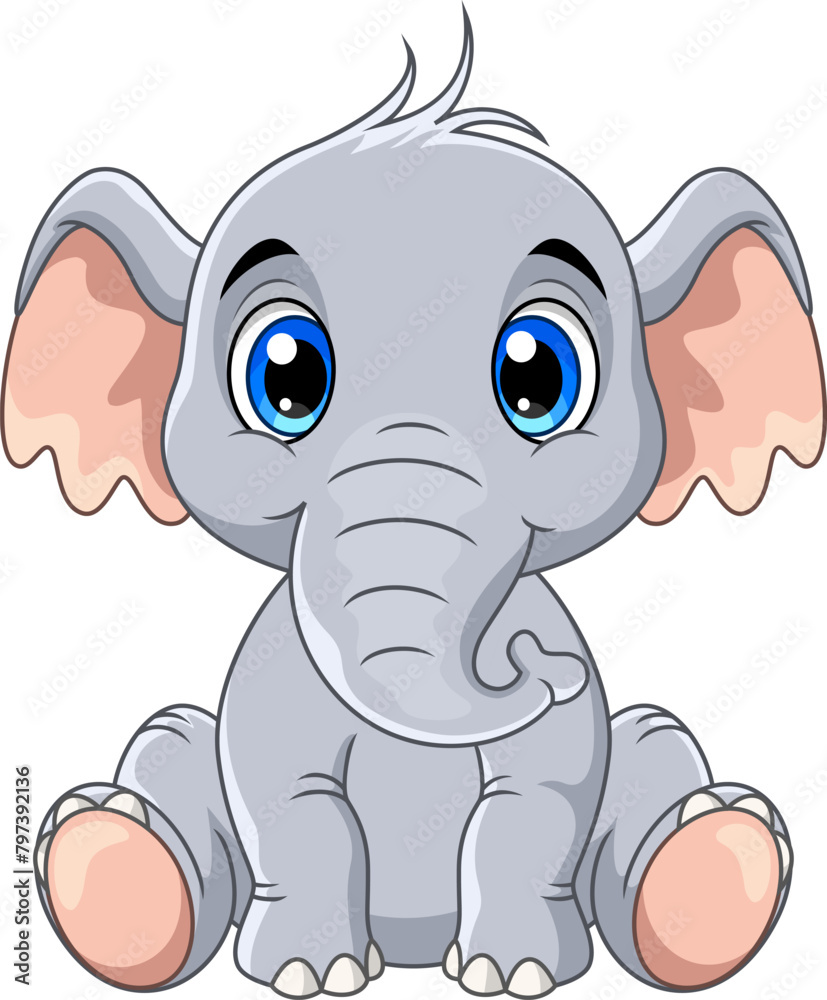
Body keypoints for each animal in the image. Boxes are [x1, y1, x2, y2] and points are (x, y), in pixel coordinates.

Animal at [3, 13, 825, 999]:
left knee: (654, 743)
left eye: (538, 377)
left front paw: (510, 972)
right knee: (170, 741)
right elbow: (285, 793)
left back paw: (713, 863)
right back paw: (112, 860)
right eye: (284, 375)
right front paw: (312, 973)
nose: (530, 662)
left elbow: (538, 796)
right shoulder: (278, 669)